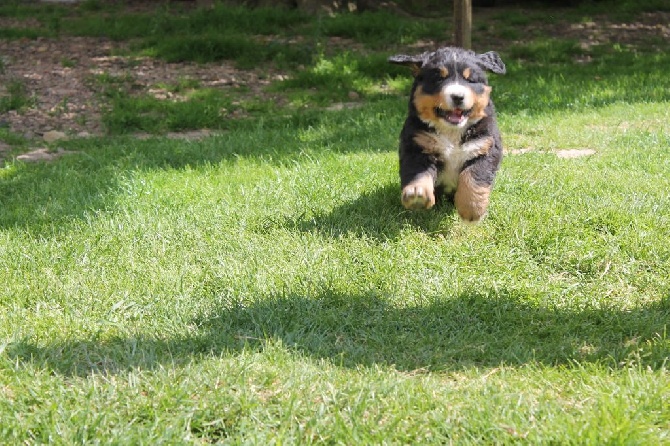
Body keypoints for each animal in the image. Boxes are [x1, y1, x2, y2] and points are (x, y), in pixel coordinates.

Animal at [392, 48, 506, 222]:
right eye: (439, 78)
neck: (452, 132)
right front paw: (417, 194)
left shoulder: (485, 146)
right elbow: (418, 172)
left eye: (470, 80)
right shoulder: (417, 146)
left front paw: (472, 208)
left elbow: (474, 176)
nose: (458, 97)